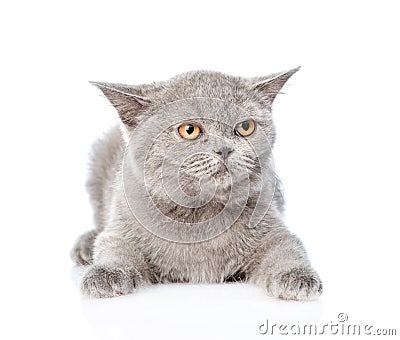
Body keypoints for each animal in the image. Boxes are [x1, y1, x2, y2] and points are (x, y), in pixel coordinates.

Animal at [71, 68, 322, 300]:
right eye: (189, 130)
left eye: (245, 126)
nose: (224, 149)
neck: (200, 214)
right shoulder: (122, 227)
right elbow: (115, 247)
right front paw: (106, 273)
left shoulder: (273, 229)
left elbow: (286, 248)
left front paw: (296, 276)